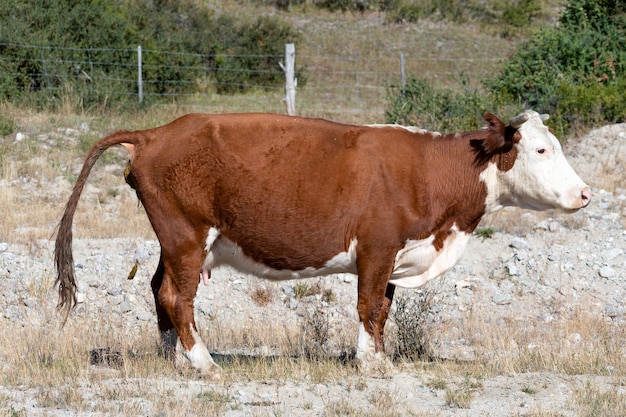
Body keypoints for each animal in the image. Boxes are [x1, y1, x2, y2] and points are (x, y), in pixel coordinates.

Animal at [54, 109, 588, 376]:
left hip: (177, 243)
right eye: (541, 150)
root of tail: (155, 133)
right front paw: (369, 363)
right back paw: (203, 362)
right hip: (186, 235)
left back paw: (174, 355)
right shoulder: (377, 248)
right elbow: (369, 305)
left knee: (158, 290)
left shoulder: (392, 256)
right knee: (175, 295)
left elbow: (382, 309)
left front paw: (378, 356)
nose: (585, 193)